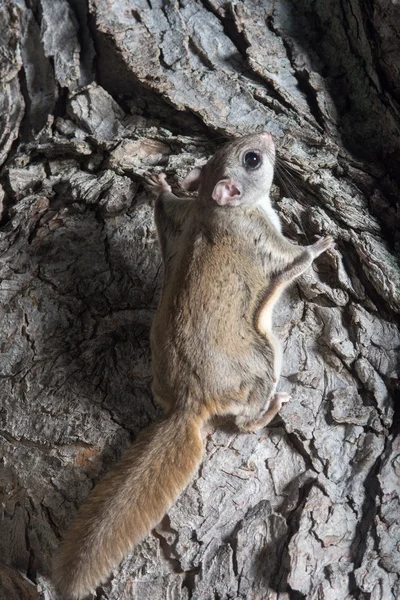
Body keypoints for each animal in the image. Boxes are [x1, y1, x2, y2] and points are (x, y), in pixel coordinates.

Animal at [53, 130, 334, 596]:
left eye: (231, 147)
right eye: (252, 159)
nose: (268, 134)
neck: (212, 209)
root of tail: (189, 401)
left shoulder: (180, 218)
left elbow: (166, 207)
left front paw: (161, 185)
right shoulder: (264, 243)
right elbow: (296, 259)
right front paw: (322, 244)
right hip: (264, 360)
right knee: (244, 422)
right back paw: (272, 408)